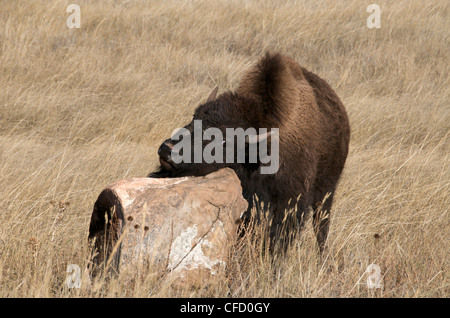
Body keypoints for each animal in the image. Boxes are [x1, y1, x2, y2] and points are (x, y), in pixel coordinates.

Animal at [149, 52, 350, 253]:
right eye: (194, 117)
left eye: (224, 140)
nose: (167, 150)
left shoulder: (289, 205)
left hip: (326, 193)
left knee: (321, 227)